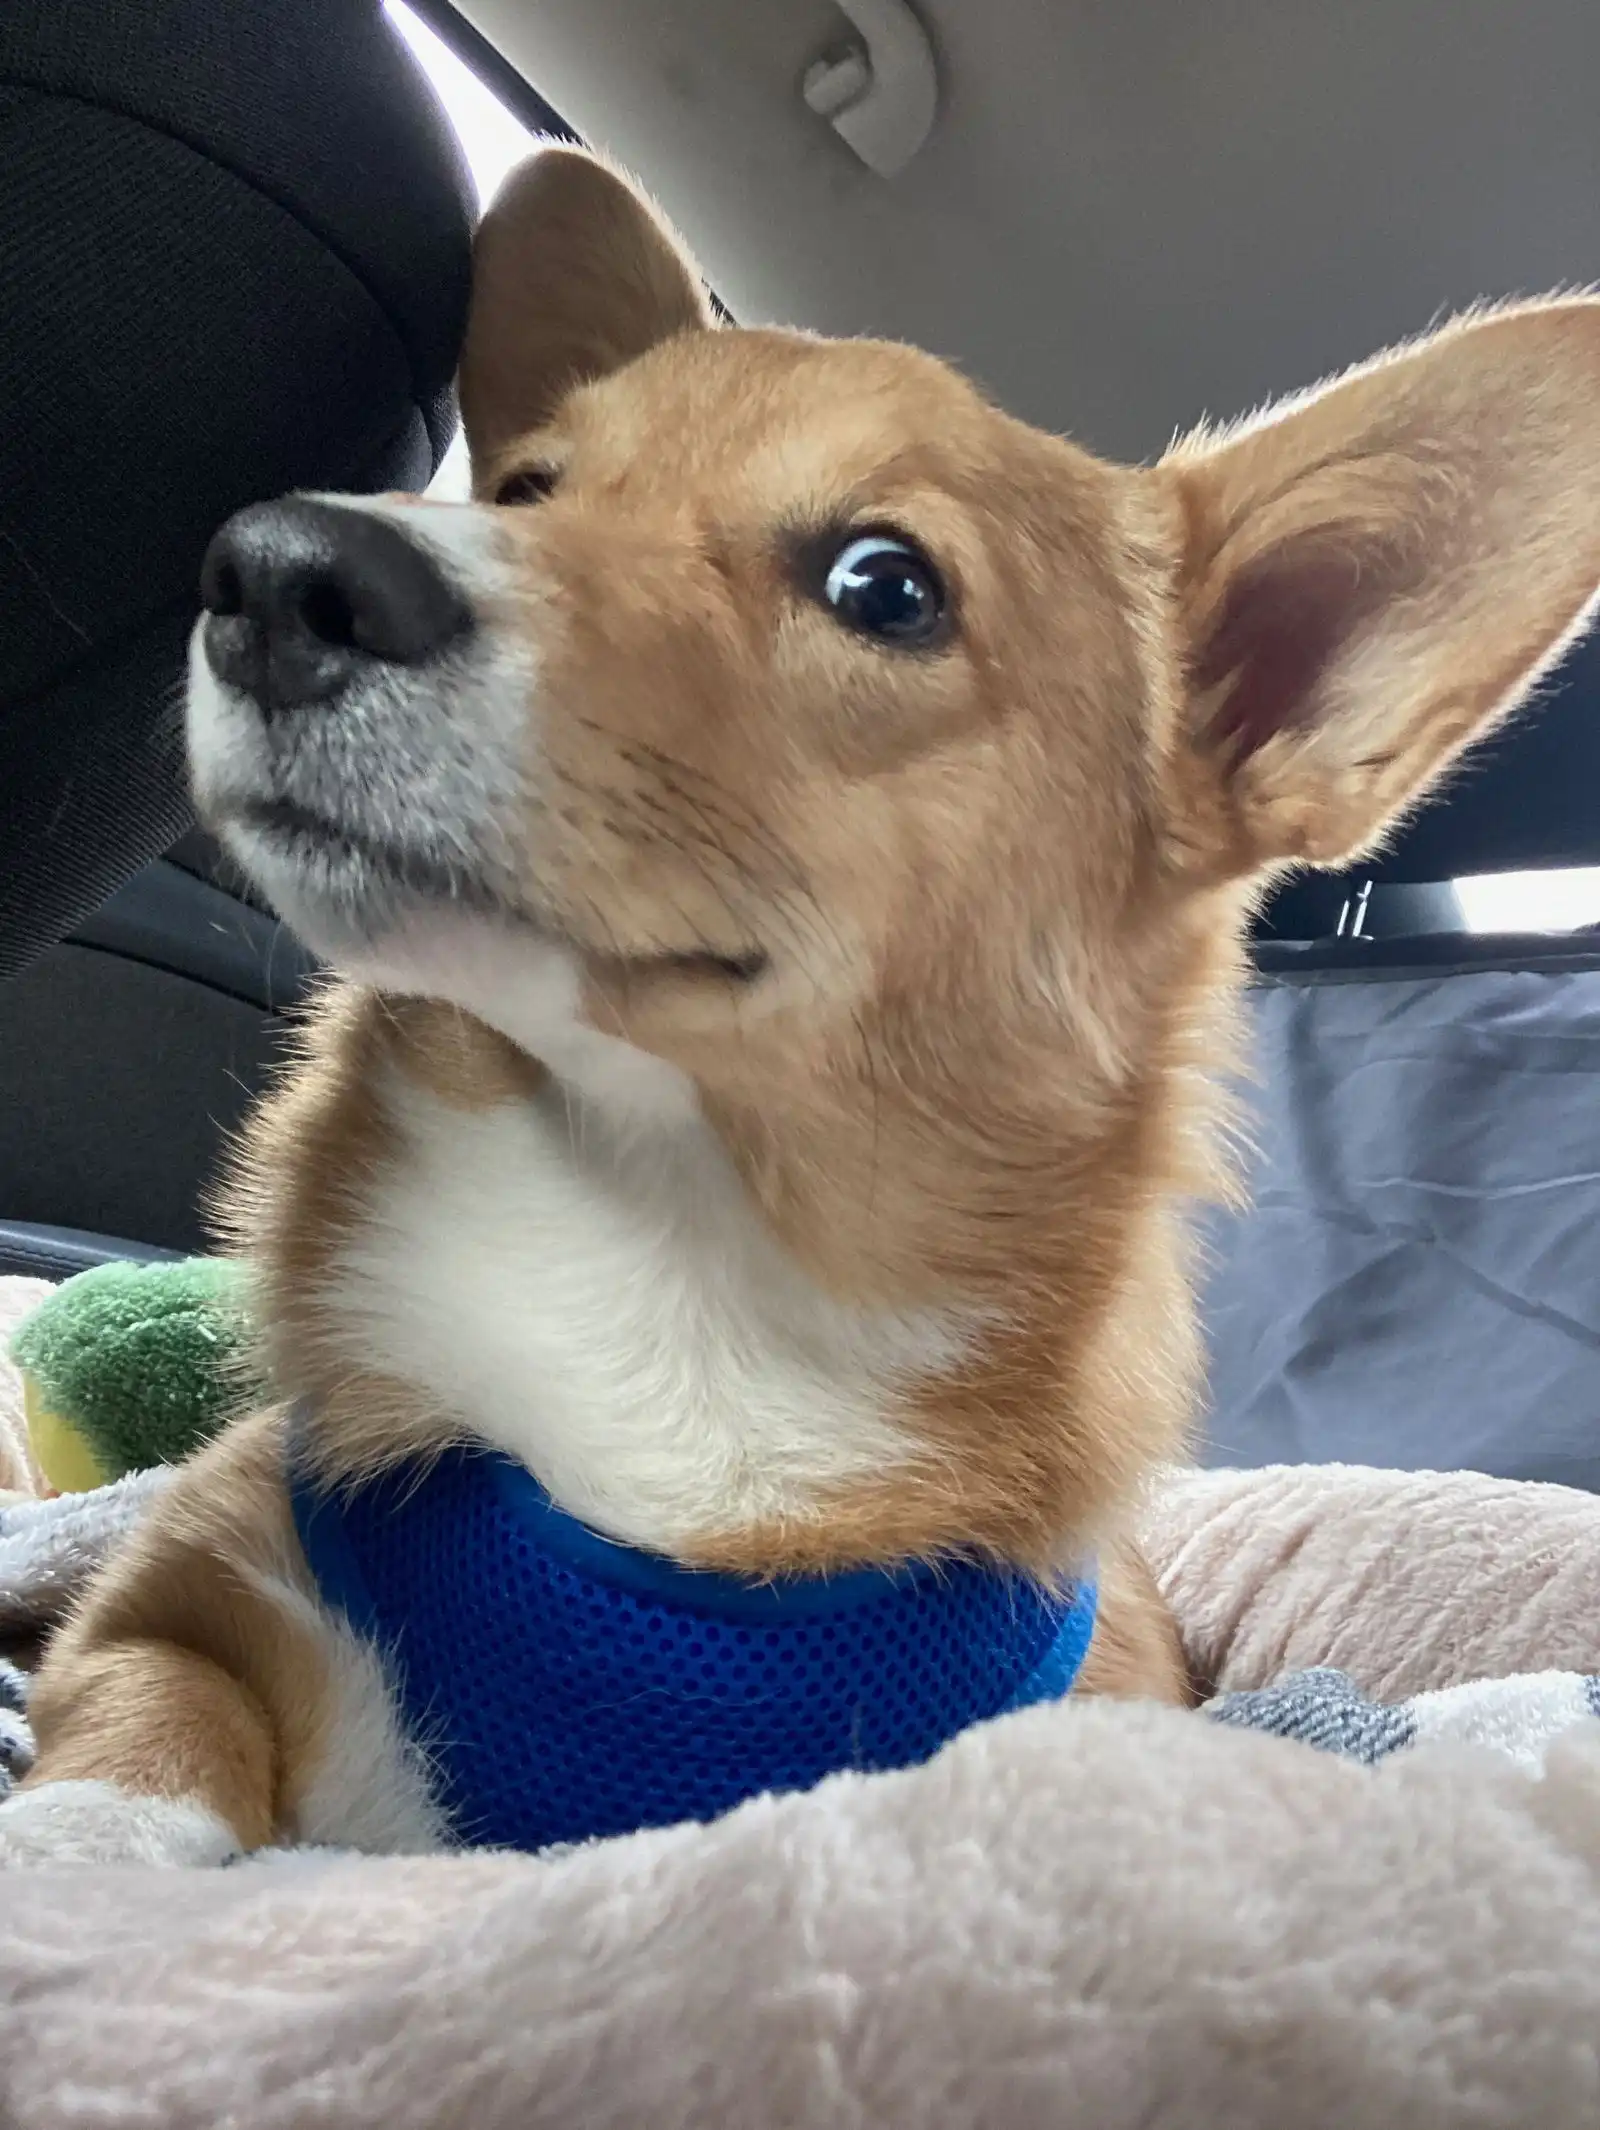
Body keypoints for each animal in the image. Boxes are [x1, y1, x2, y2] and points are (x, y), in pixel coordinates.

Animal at [3, 145, 1600, 1865]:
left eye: (885, 586)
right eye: (525, 491)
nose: (279, 568)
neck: (672, 1255)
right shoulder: (169, 1594)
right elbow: (152, 1714)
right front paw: (81, 1855)